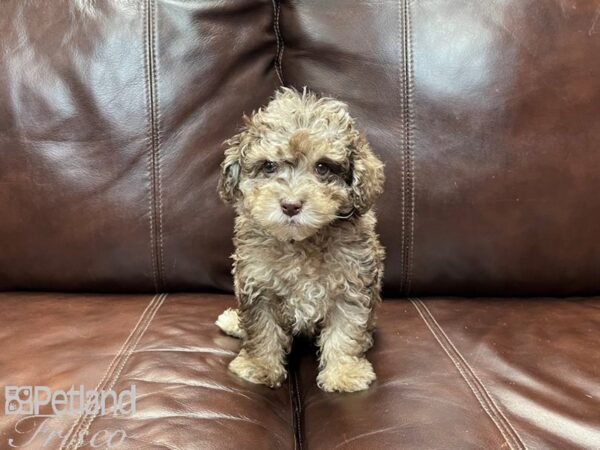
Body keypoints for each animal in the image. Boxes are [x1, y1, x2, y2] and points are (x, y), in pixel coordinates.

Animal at [216, 87, 384, 390]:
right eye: (269, 166)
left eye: (323, 167)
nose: (291, 205)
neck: (302, 243)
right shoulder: (258, 286)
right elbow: (261, 330)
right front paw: (259, 366)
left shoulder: (351, 285)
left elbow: (346, 330)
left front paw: (344, 373)